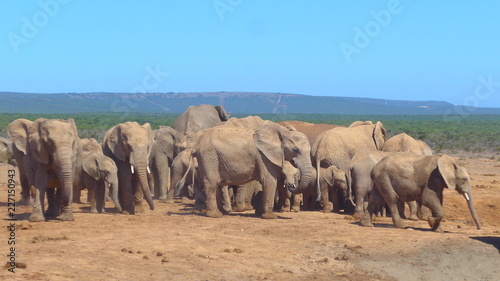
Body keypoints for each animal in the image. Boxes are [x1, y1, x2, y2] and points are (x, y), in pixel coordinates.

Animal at [184, 121, 314, 218]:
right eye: (295, 150)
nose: (292, 185)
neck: (282, 132)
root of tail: (196, 145)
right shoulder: (263, 157)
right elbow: (269, 180)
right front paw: (270, 217)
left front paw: (259, 214)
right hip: (209, 157)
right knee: (211, 183)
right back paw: (216, 215)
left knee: (216, 183)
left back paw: (223, 212)